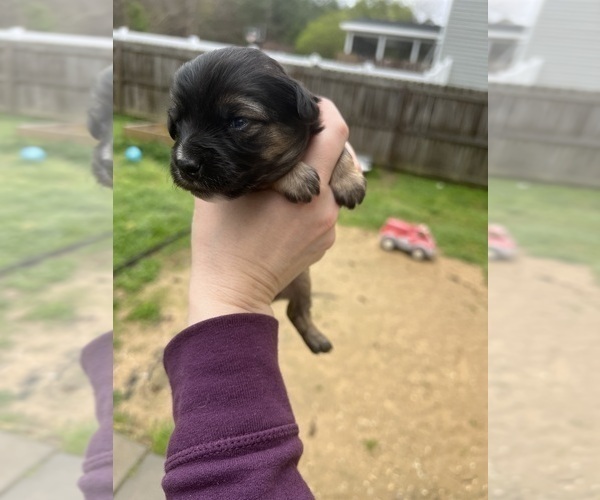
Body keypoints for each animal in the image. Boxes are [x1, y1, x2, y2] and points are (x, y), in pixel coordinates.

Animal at [168, 47, 366, 352]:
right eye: (176, 126)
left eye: (238, 122)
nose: (184, 163)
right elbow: (269, 173)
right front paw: (297, 176)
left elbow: (342, 150)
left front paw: (350, 181)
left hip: (303, 280)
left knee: (297, 312)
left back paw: (317, 340)